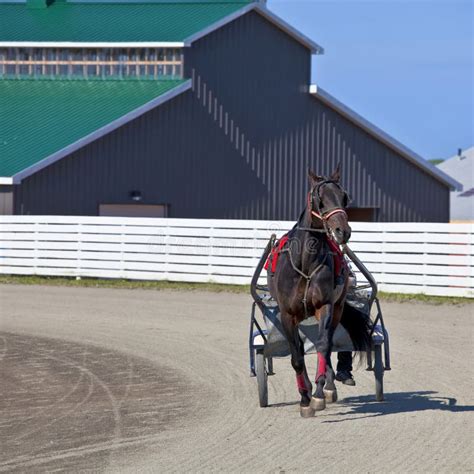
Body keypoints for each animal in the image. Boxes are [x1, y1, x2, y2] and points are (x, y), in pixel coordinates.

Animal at [266, 165, 370, 416]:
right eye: (319, 198)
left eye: (344, 197)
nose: (343, 231)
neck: (304, 263)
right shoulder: (287, 315)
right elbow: (296, 356)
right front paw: (304, 398)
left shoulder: (326, 307)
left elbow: (323, 346)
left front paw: (318, 393)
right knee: (300, 350)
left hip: (338, 309)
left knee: (328, 343)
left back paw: (328, 386)